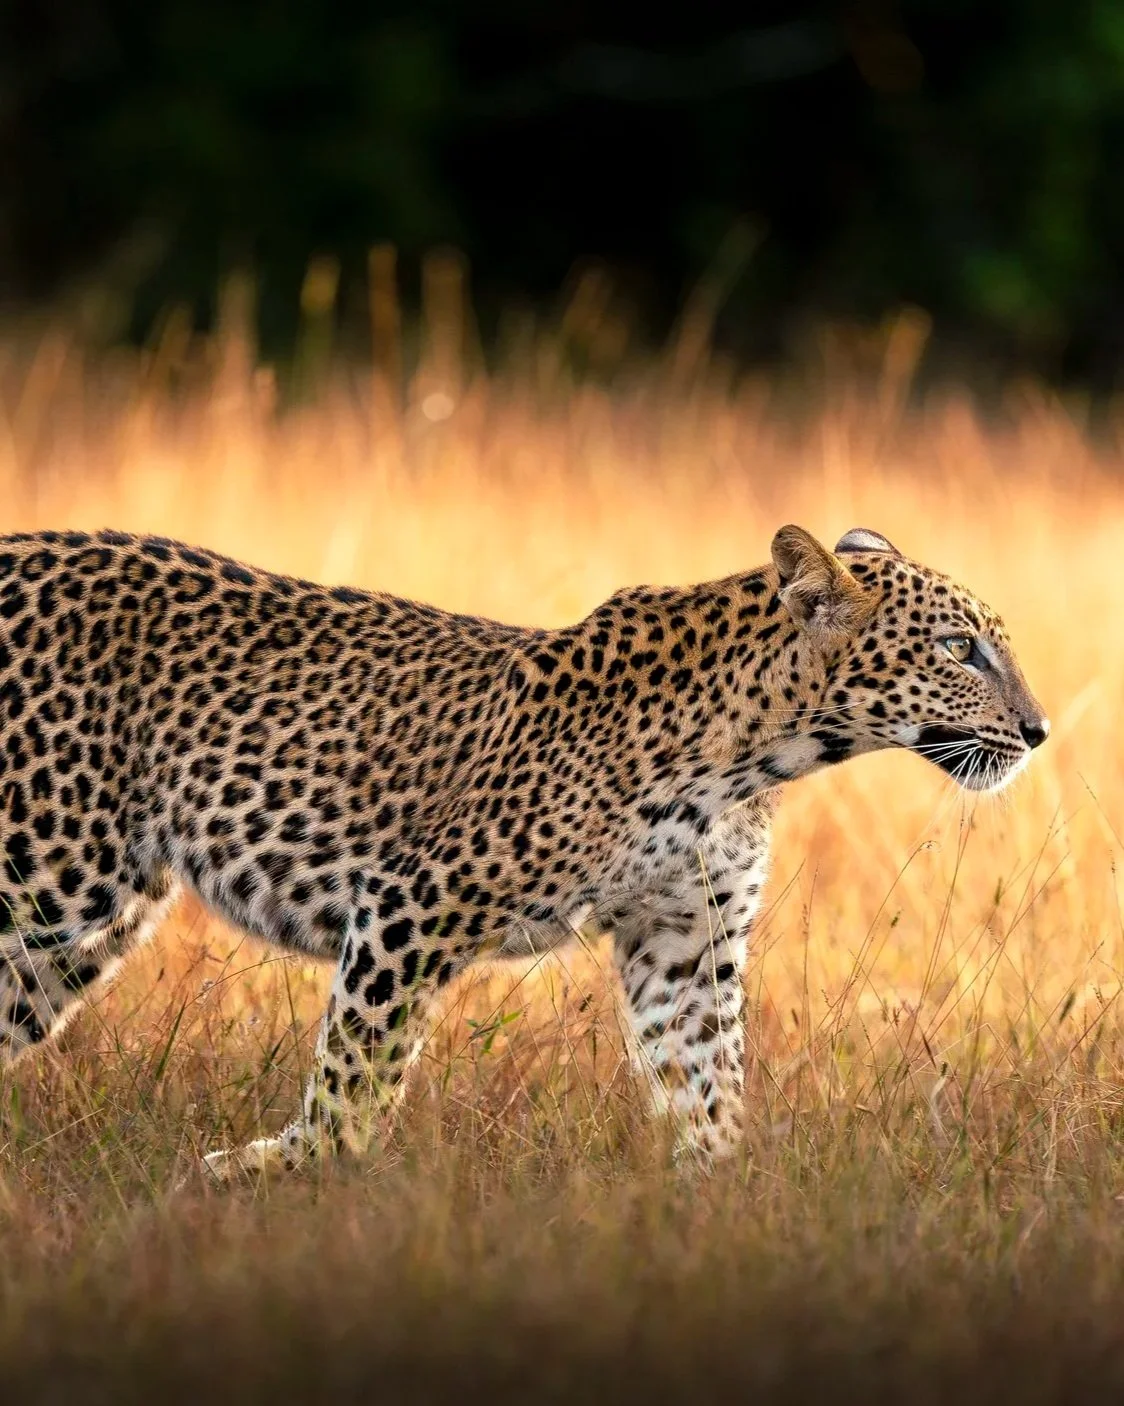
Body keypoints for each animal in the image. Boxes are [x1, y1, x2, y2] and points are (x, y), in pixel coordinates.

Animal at [0, 522, 1048, 1179]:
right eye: (959, 650)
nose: (1039, 732)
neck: (761, 752)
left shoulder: (685, 943)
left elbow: (706, 1086)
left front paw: (722, 1204)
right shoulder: (414, 902)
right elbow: (356, 1076)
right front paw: (283, 1172)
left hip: (79, 926)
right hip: (46, 872)